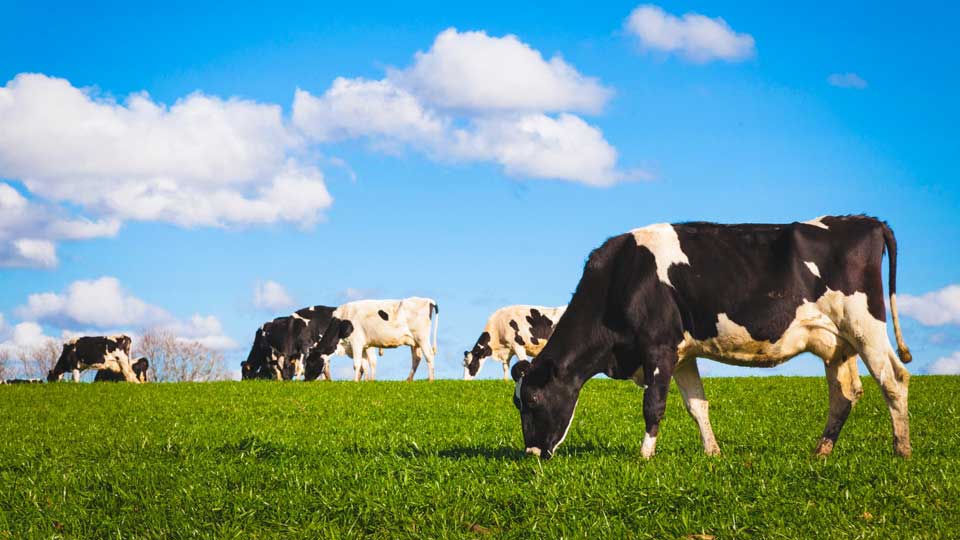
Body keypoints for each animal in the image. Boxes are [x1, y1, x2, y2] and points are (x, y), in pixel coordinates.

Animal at [308, 297, 439, 382]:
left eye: (310, 361)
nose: (306, 380)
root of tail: (428, 300)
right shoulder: (366, 345)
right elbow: (368, 363)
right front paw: (369, 381)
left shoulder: (356, 342)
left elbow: (357, 364)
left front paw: (355, 381)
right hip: (414, 342)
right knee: (416, 358)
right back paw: (409, 379)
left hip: (422, 337)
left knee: (429, 355)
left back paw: (431, 380)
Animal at [511, 216, 913, 460]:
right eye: (517, 403)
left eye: (532, 398)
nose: (532, 454)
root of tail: (866, 221)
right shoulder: (682, 354)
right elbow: (697, 406)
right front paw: (712, 453)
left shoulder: (658, 346)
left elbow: (653, 405)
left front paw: (644, 456)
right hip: (836, 342)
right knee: (845, 394)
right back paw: (822, 451)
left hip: (865, 324)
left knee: (893, 379)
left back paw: (902, 450)